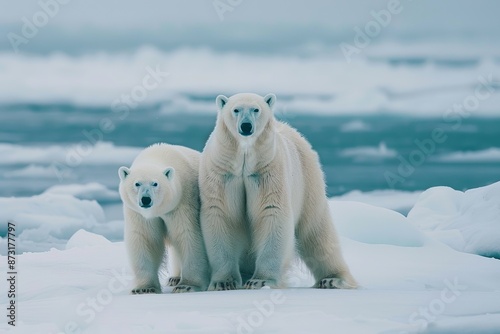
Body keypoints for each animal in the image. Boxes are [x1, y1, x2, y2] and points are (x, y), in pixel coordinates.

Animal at [118, 143, 208, 292]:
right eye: (137, 183)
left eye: (155, 183)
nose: (146, 199)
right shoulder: (139, 214)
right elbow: (146, 238)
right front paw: (144, 288)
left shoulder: (182, 202)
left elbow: (187, 234)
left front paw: (187, 285)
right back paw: (174, 278)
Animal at [199, 92, 356, 290]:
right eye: (236, 110)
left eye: (256, 109)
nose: (246, 126)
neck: (244, 158)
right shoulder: (223, 173)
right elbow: (221, 213)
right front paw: (224, 283)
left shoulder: (268, 170)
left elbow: (272, 211)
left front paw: (260, 280)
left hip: (308, 180)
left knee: (316, 231)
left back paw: (333, 279)